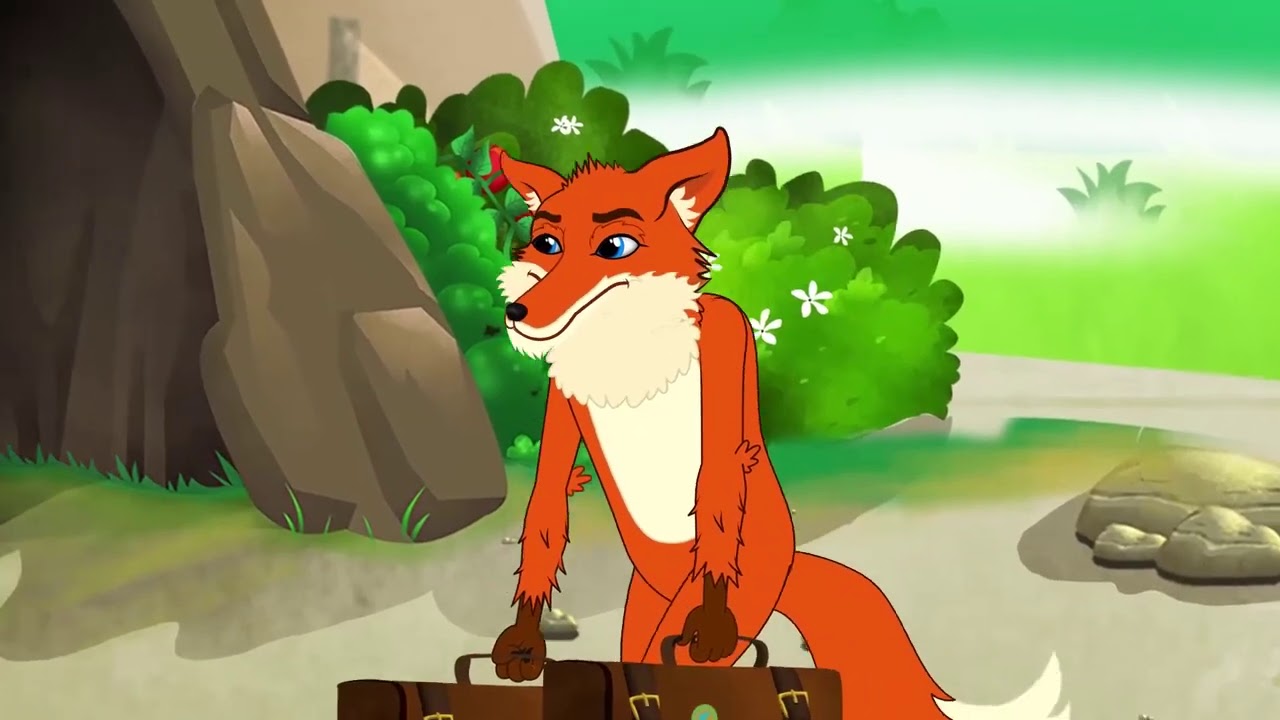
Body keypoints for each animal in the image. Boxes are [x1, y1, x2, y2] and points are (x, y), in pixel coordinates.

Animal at [488, 128, 1069, 720]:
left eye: (615, 247)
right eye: (547, 244)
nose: (517, 312)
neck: (627, 352)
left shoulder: (727, 353)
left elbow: (717, 486)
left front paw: (710, 627)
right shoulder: (561, 401)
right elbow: (548, 504)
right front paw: (522, 644)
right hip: (649, 598)